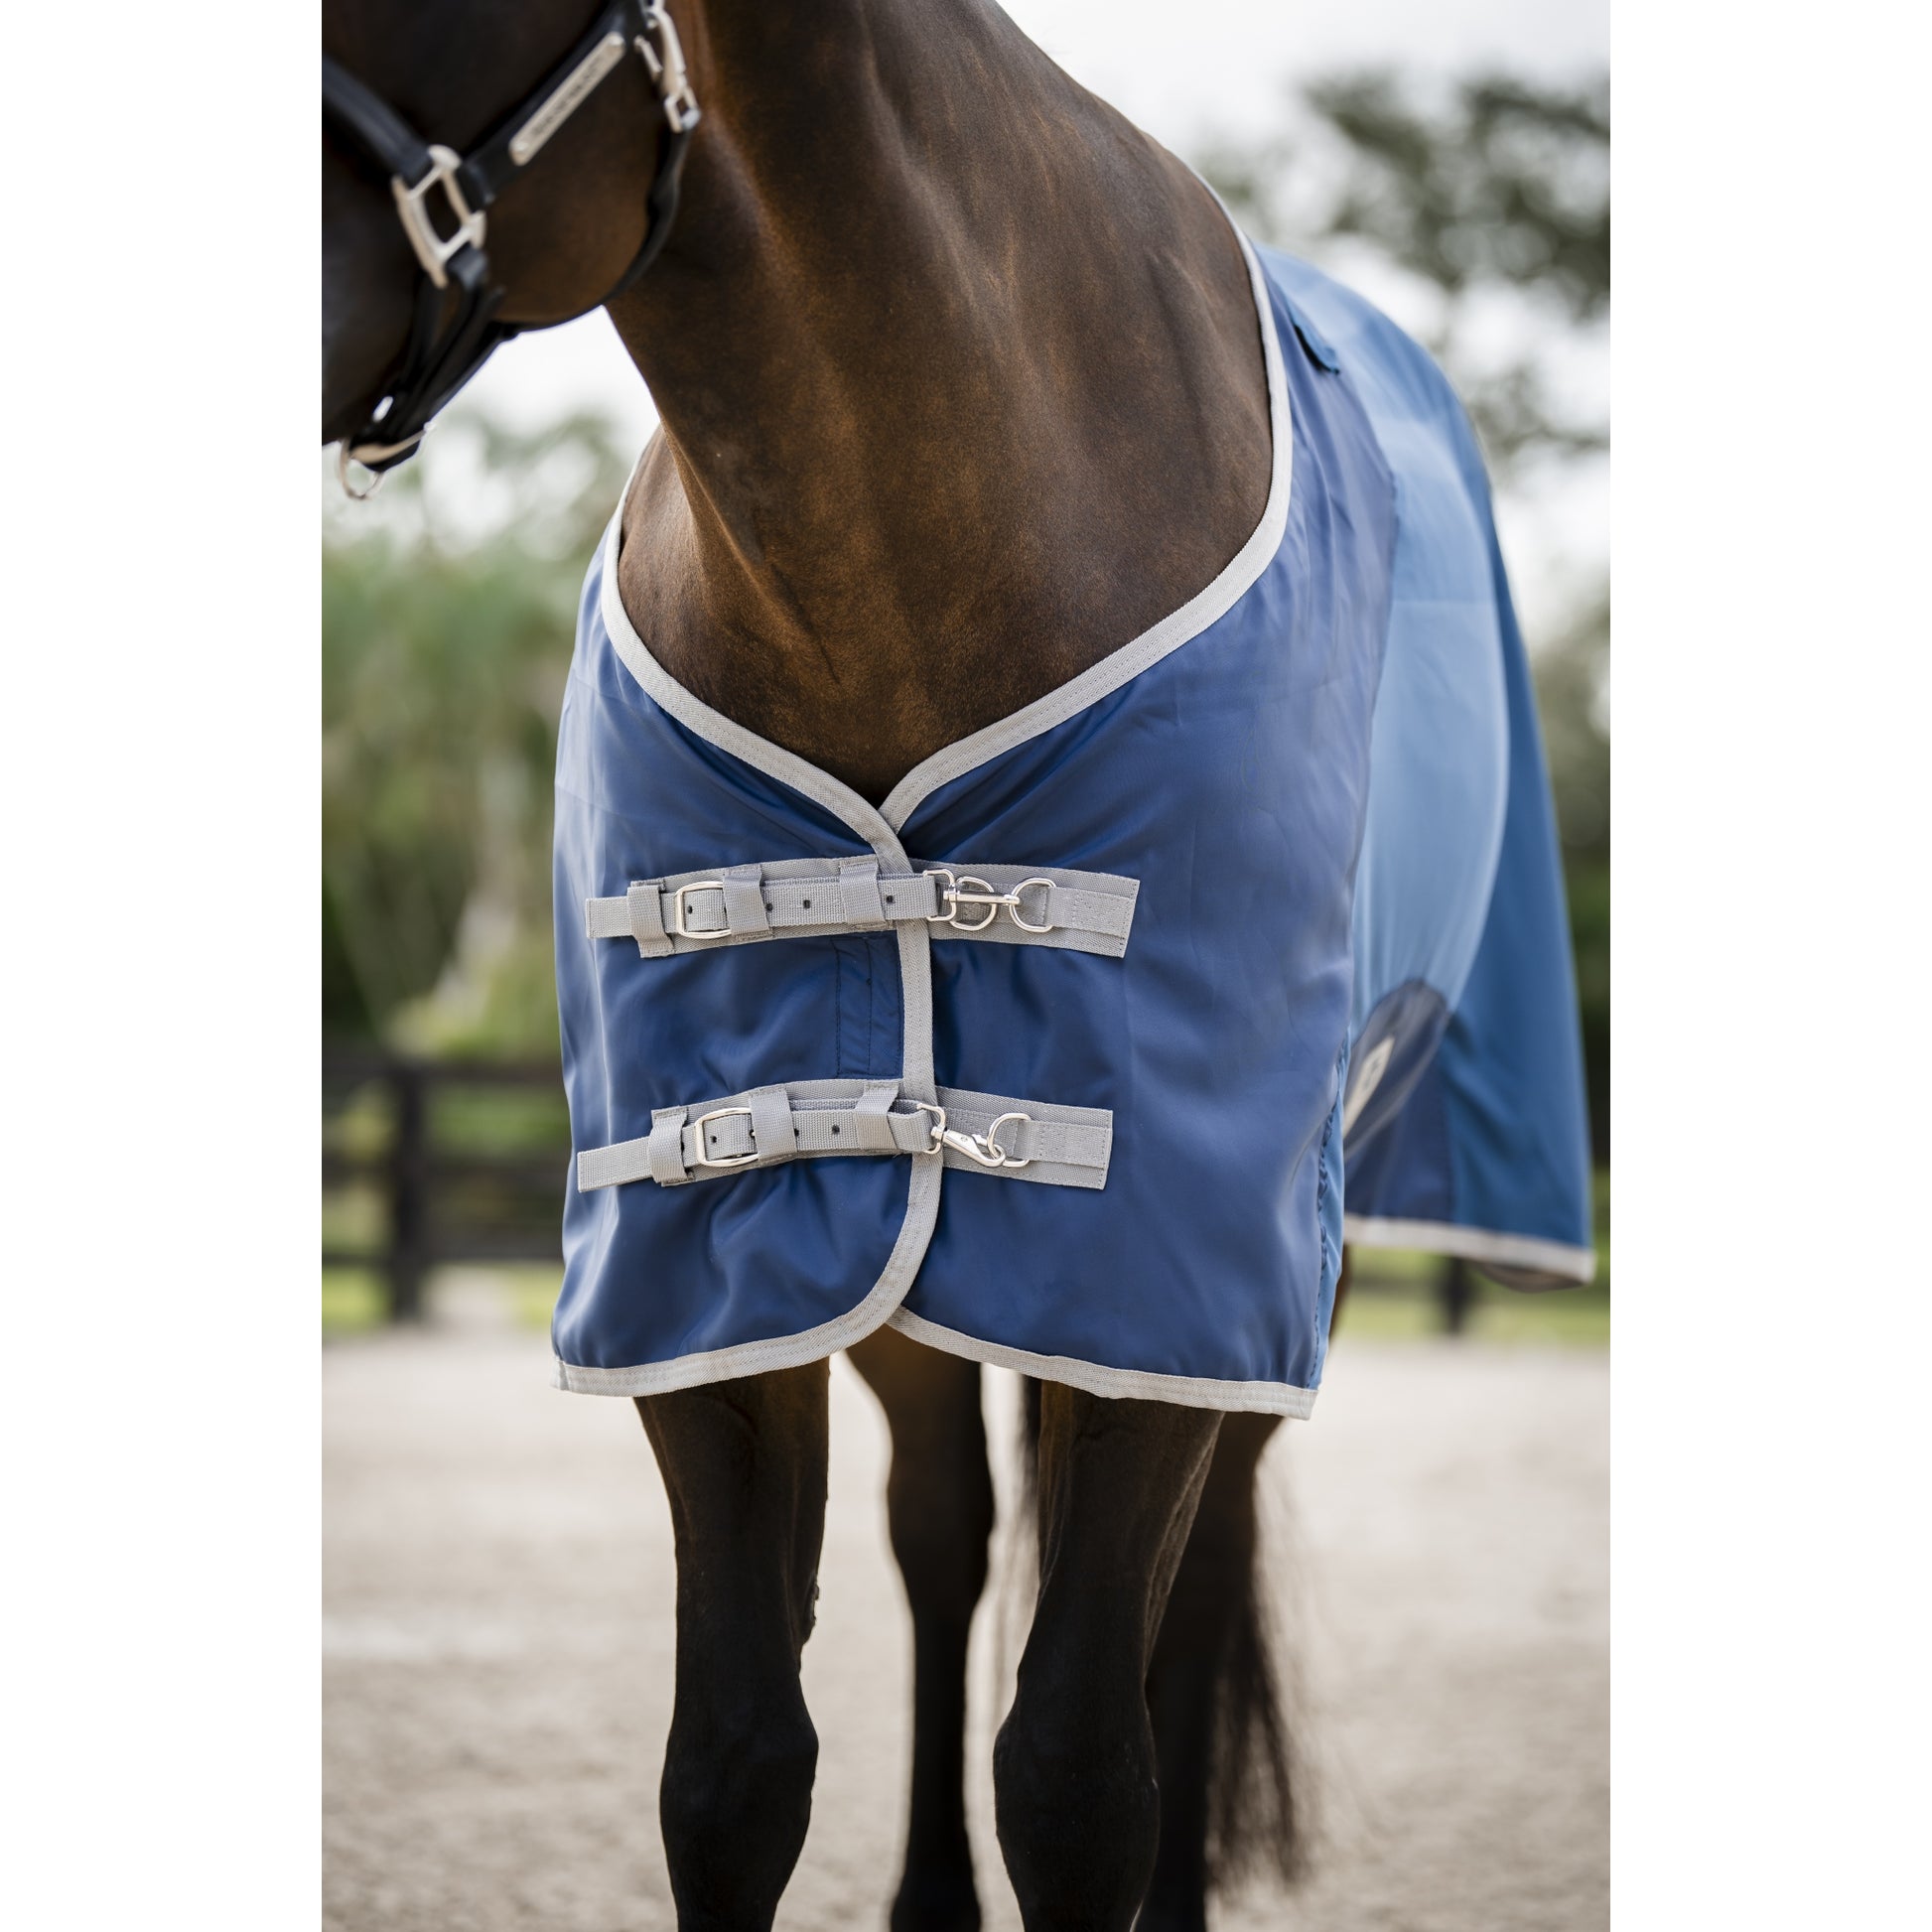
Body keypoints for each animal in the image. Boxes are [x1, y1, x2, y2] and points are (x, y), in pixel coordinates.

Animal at [322, 5, 1594, 1927]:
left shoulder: (1172, 1250)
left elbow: (1075, 1773)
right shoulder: (725, 1251)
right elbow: (733, 1769)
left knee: (1186, 1604)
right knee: (943, 1533)